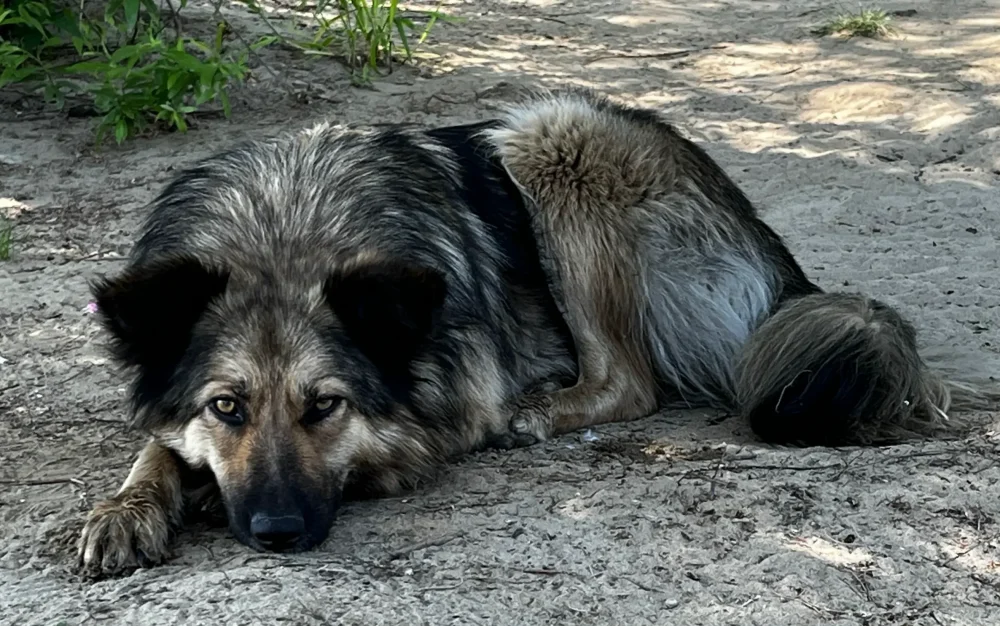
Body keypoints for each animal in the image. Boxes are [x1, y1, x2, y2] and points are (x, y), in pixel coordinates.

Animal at [76, 86, 992, 576]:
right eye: (225, 408)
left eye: (325, 407)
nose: (275, 533)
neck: (285, 229)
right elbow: (155, 443)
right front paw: (127, 506)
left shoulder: (450, 402)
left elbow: (394, 447)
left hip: (552, 138)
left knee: (632, 381)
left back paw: (544, 410)